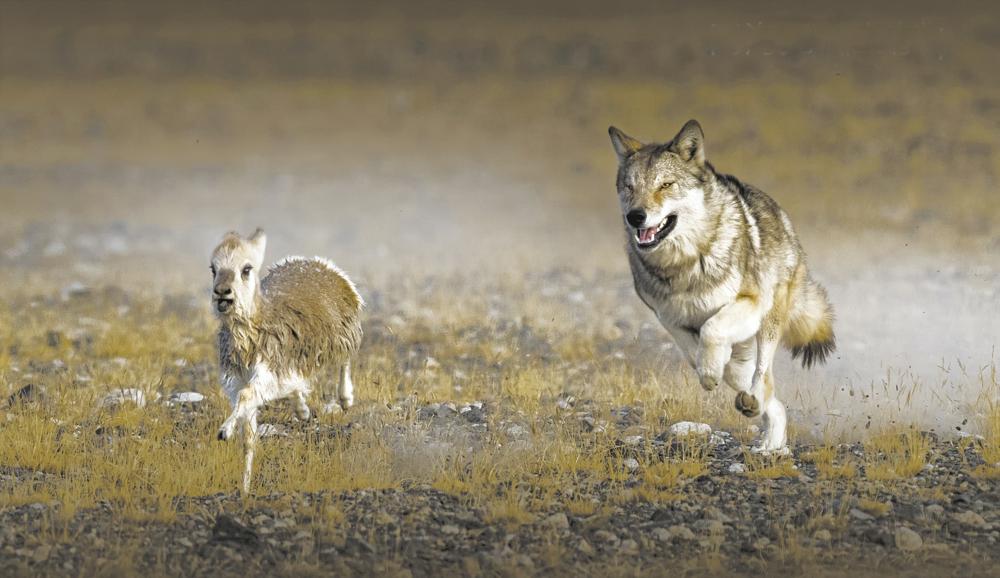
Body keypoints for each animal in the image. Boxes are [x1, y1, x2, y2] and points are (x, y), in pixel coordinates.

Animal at [608, 119, 836, 452]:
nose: (635, 216)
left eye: (666, 185)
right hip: (745, 352)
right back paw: (769, 441)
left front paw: (710, 370)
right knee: (770, 398)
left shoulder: (750, 303)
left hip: (768, 322)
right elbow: (695, 350)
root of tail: (784, 220)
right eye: (629, 187)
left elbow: (711, 329)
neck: (685, 265)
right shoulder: (669, 318)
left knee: (763, 376)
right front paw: (709, 369)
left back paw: (757, 415)